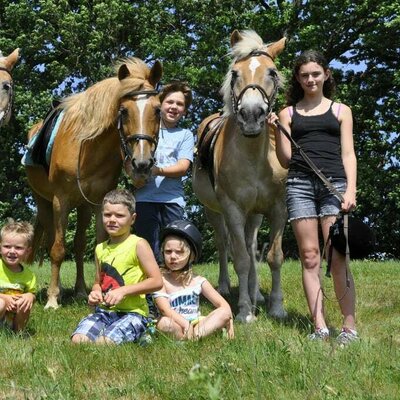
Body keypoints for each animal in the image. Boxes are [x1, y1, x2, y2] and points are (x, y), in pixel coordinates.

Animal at [25, 57, 162, 310]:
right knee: (52, 242)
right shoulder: (61, 201)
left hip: (83, 206)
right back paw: (58, 291)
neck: (87, 148)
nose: (142, 163)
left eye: (158, 110)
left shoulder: (99, 202)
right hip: (43, 202)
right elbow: (57, 249)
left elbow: (98, 245)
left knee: (79, 245)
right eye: (123, 111)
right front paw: (52, 299)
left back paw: (80, 290)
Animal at [194, 31, 288, 324]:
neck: (253, 156)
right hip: (214, 211)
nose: (251, 115)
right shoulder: (232, 209)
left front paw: (275, 307)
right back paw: (226, 287)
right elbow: (241, 259)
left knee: (251, 244)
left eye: (273, 72)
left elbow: (273, 256)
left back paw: (256, 293)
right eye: (235, 74)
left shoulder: (277, 209)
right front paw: (246, 311)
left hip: (254, 215)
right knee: (225, 246)